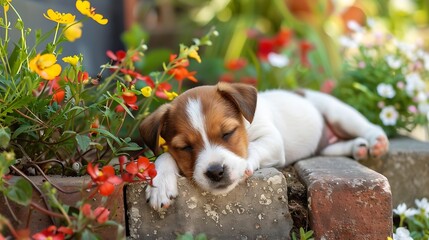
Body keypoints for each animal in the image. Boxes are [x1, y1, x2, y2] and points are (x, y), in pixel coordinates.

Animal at [140, 82, 388, 210]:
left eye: (228, 133)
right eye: (185, 147)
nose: (216, 171)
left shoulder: (273, 140)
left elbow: (255, 148)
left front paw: (246, 163)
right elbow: (163, 157)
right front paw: (159, 184)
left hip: (338, 113)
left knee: (368, 125)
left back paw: (376, 142)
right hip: (326, 146)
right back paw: (358, 147)